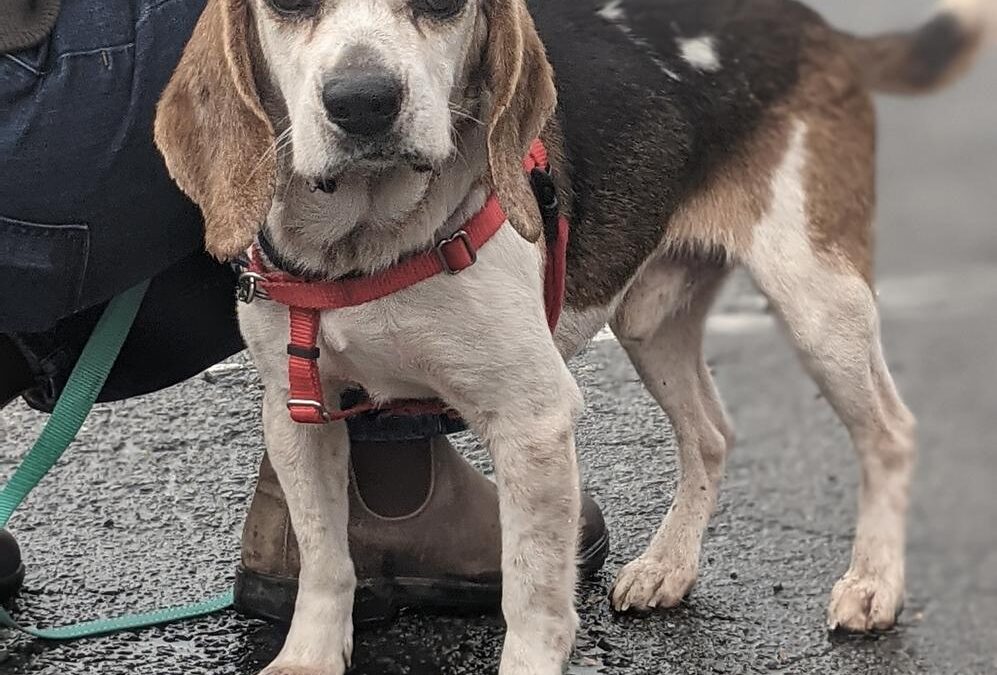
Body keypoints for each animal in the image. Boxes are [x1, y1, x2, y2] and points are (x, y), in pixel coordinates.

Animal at [154, 0, 994, 672]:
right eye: (290, 5)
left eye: (442, 3)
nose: (363, 102)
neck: (366, 243)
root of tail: (814, 24)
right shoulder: (298, 412)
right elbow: (327, 562)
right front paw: (307, 657)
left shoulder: (530, 422)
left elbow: (531, 597)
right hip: (649, 317)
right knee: (711, 435)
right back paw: (668, 564)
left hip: (818, 300)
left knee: (889, 432)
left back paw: (874, 582)